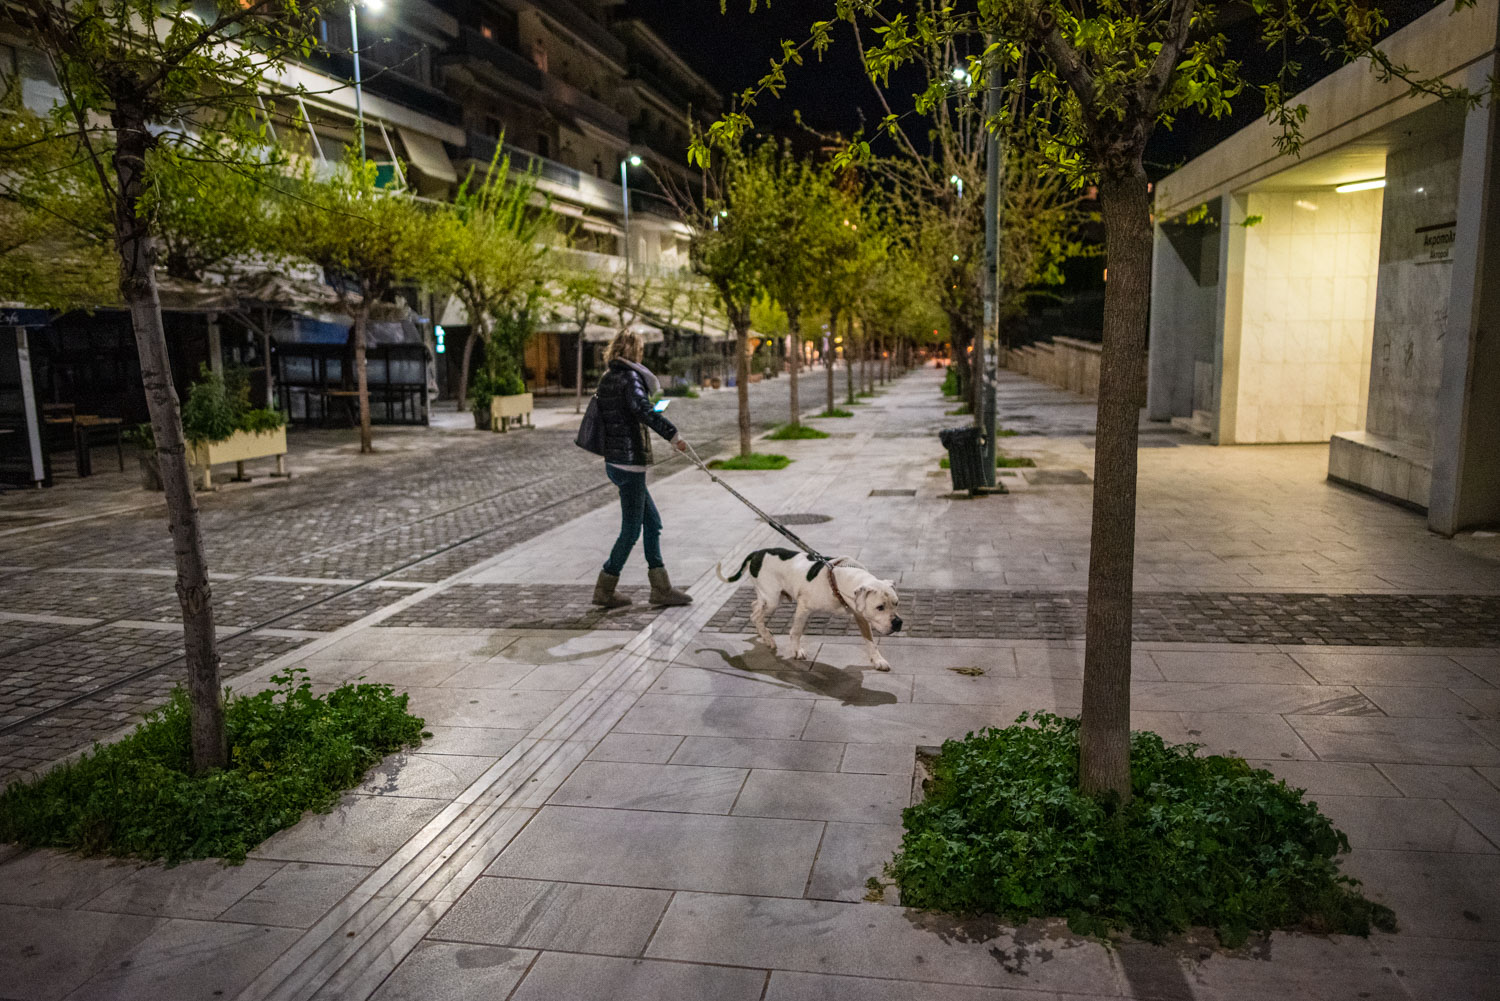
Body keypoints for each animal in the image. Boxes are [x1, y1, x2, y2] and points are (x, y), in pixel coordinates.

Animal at [717, 552, 900, 669]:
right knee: (755, 615)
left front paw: (878, 660)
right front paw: (797, 651)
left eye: (896, 603)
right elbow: (796, 631)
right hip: (772, 599)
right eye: (880, 607)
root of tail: (757, 553)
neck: (839, 579)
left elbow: (870, 641)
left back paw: (764, 633)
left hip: (772, 597)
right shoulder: (804, 607)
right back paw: (768, 638)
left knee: (754, 606)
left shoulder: (860, 615)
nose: (898, 623)